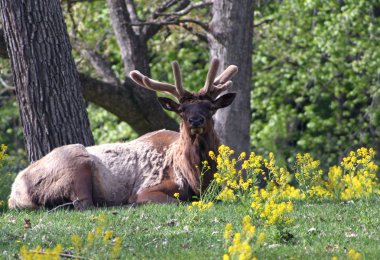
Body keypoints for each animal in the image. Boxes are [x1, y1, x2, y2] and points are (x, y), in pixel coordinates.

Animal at [8, 59, 238, 209]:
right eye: (182, 110)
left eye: (210, 107)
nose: (195, 120)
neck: (193, 176)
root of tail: (13, 193)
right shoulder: (146, 188)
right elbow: (175, 201)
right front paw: (132, 203)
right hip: (75, 164)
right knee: (85, 204)